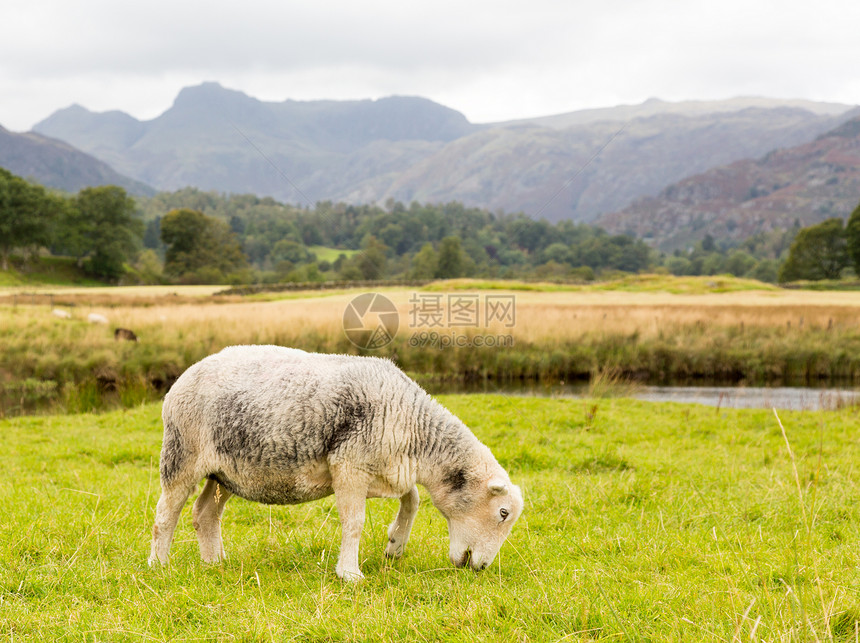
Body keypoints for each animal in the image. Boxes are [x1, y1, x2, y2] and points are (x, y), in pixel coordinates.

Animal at [149, 344, 524, 580]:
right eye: (503, 513)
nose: (482, 567)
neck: (414, 433)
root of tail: (184, 376)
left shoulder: (387, 467)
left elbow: (413, 498)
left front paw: (394, 546)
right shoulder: (350, 464)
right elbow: (355, 522)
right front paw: (350, 573)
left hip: (225, 470)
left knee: (204, 513)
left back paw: (214, 562)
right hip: (182, 454)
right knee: (165, 514)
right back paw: (159, 564)